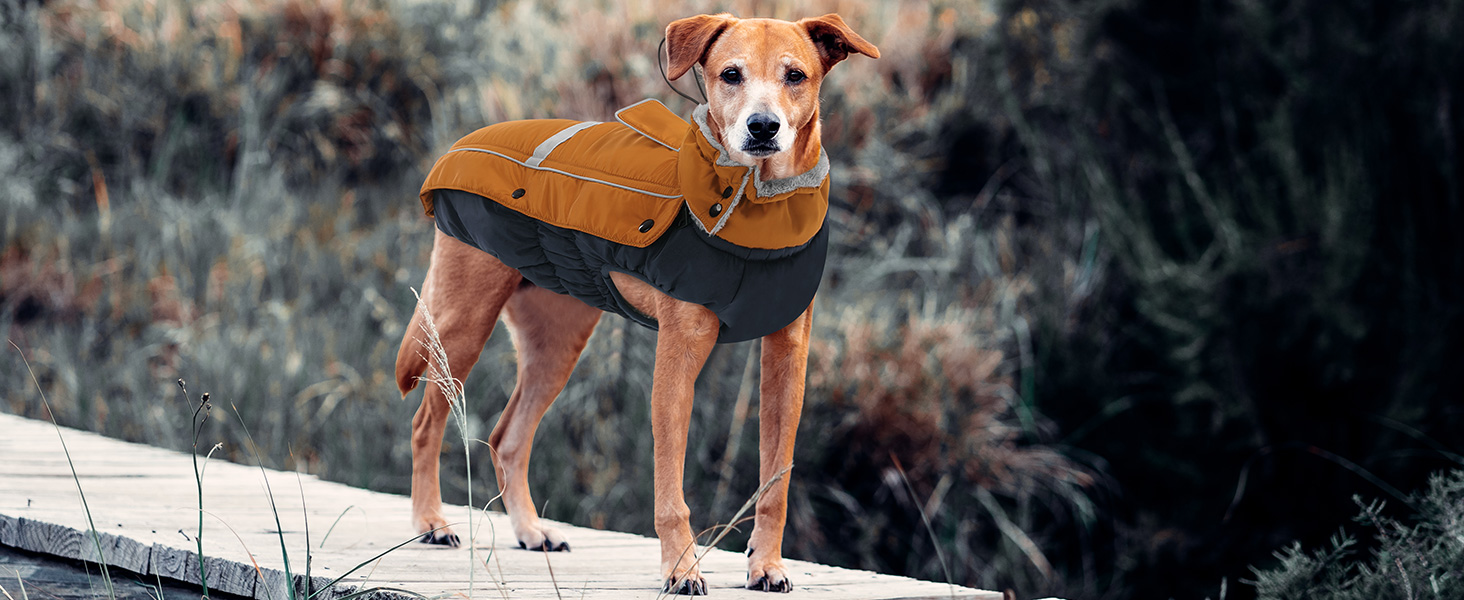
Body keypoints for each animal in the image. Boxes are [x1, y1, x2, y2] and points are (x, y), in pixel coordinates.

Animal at [398, 11, 878, 594]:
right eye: (731, 74)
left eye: (795, 76)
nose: (763, 127)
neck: (760, 208)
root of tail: (461, 143)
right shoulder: (677, 358)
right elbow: (671, 491)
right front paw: (681, 569)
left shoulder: (788, 358)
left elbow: (776, 482)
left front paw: (766, 565)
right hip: (462, 325)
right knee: (427, 421)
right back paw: (431, 522)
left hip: (556, 344)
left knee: (507, 436)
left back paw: (531, 530)